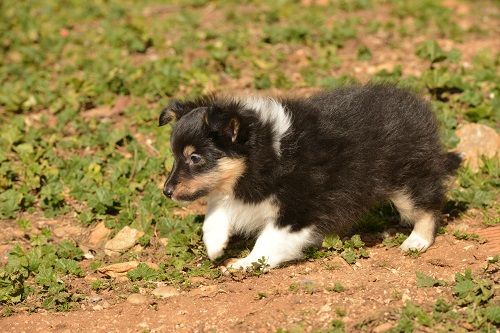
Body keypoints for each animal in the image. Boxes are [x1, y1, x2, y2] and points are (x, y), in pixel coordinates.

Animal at [159, 84, 460, 268]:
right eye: (175, 156)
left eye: (195, 158)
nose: (167, 191)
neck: (267, 152)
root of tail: (418, 107)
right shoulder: (236, 194)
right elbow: (216, 211)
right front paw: (215, 245)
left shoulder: (297, 211)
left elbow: (268, 240)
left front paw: (244, 264)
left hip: (408, 178)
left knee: (427, 206)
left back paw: (416, 242)